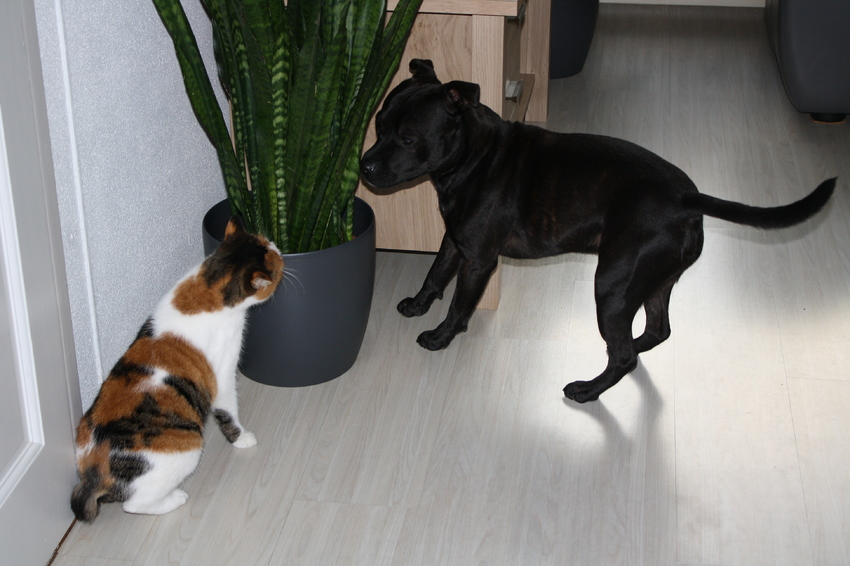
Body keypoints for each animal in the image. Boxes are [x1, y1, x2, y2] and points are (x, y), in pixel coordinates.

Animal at [71, 217, 283, 523]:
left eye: (267, 242)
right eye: (275, 261)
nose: (279, 247)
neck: (206, 288)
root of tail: (92, 474)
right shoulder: (222, 375)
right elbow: (228, 411)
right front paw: (241, 438)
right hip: (188, 447)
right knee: (133, 505)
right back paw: (175, 498)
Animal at [360, 59, 836, 403]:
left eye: (407, 138)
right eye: (378, 125)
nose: (363, 166)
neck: (475, 155)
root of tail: (686, 198)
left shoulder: (477, 259)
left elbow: (460, 305)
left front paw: (439, 337)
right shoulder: (455, 241)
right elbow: (434, 274)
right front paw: (417, 305)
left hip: (612, 286)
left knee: (622, 354)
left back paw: (588, 390)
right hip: (651, 281)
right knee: (655, 332)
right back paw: (630, 354)